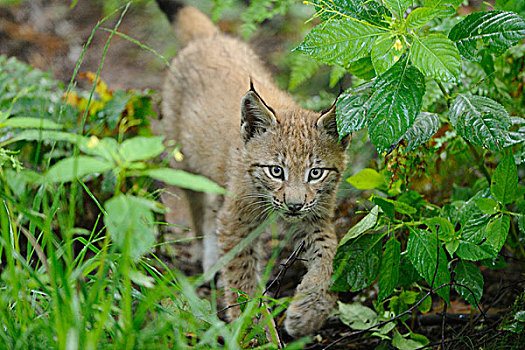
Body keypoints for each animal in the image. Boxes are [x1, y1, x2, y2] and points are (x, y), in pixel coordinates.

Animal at [155, 1, 348, 338]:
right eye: (275, 171)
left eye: (315, 173)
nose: (293, 205)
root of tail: (212, 37)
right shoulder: (238, 220)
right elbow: (242, 277)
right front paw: (255, 332)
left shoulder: (315, 214)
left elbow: (329, 253)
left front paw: (309, 312)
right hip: (185, 162)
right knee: (198, 209)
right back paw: (208, 258)